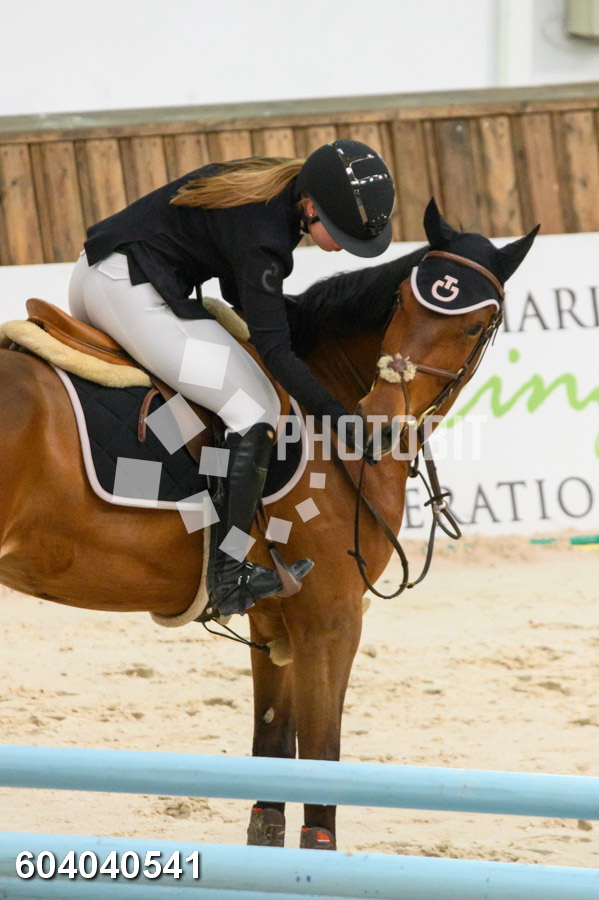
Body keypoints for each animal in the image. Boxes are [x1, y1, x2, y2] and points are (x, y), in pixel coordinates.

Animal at [0, 199, 537, 849]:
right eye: (401, 305)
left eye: (472, 327)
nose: (379, 424)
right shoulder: (331, 617)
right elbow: (322, 771)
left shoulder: (275, 618)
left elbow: (273, 771)